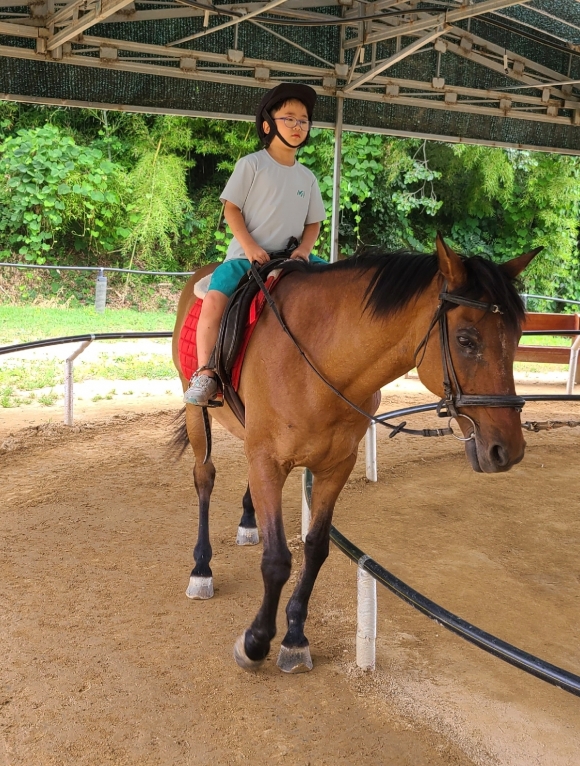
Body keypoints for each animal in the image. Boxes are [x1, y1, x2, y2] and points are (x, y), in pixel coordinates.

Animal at [172, 234, 540, 672]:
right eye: (466, 339)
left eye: (517, 338)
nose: (508, 450)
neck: (318, 363)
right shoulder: (269, 462)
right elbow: (277, 560)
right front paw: (256, 641)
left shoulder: (335, 467)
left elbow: (316, 548)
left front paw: (294, 638)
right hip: (196, 413)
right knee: (204, 478)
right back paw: (200, 568)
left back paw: (248, 522)